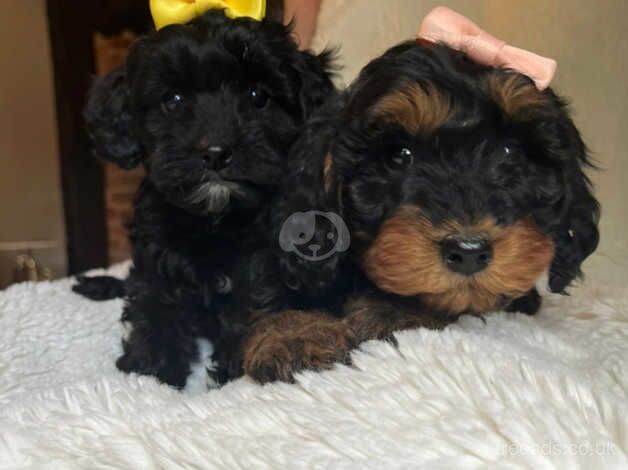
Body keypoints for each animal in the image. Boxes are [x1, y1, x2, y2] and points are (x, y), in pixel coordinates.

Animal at [76, 10, 336, 390]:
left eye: (258, 96)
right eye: (173, 100)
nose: (215, 152)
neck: (215, 219)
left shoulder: (263, 265)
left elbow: (254, 305)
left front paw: (233, 372)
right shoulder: (156, 257)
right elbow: (154, 308)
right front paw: (149, 374)